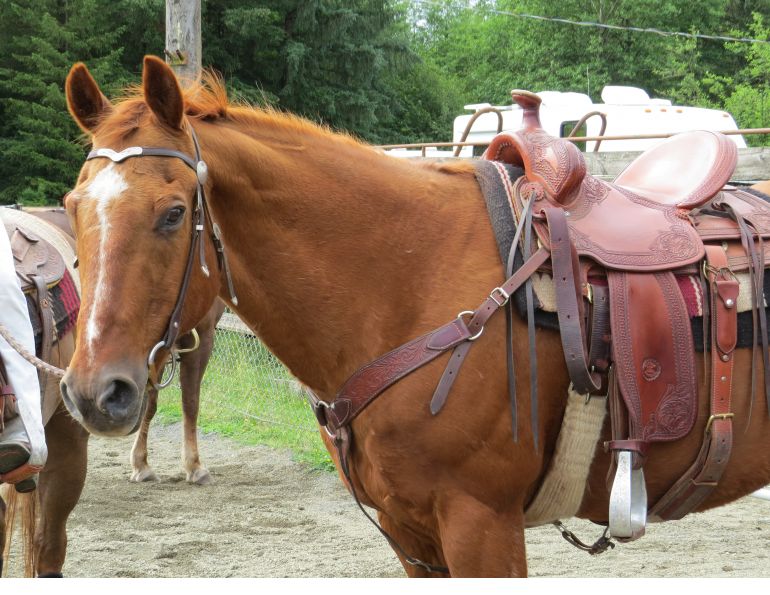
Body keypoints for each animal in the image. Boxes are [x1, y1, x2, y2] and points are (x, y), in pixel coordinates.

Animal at [59, 56, 770, 577]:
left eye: (174, 213)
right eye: (70, 207)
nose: (96, 392)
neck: (407, 284)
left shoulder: (481, 526)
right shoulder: (412, 537)